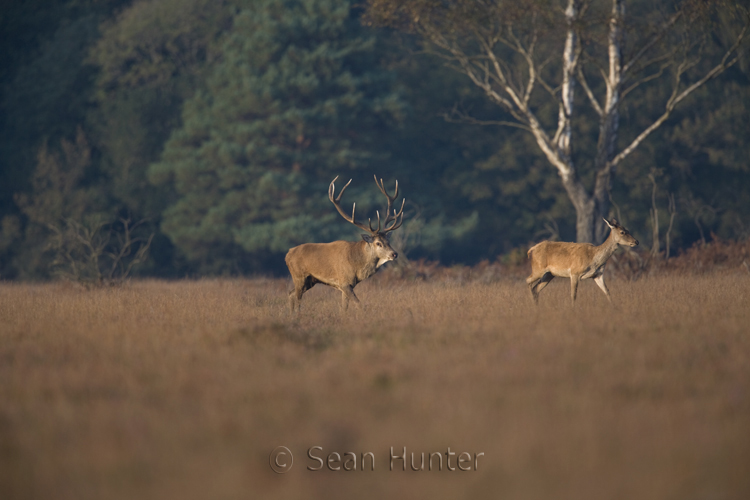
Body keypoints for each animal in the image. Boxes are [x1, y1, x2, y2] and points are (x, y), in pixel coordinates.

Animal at [285, 175, 405, 313]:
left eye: (388, 241)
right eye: (378, 243)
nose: (394, 254)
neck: (356, 265)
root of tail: (287, 254)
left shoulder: (348, 285)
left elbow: (344, 309)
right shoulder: (344, 282)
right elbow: (359, 305)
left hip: (310, 281)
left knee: (291, 293)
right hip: (298, 275)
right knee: (297, 299)